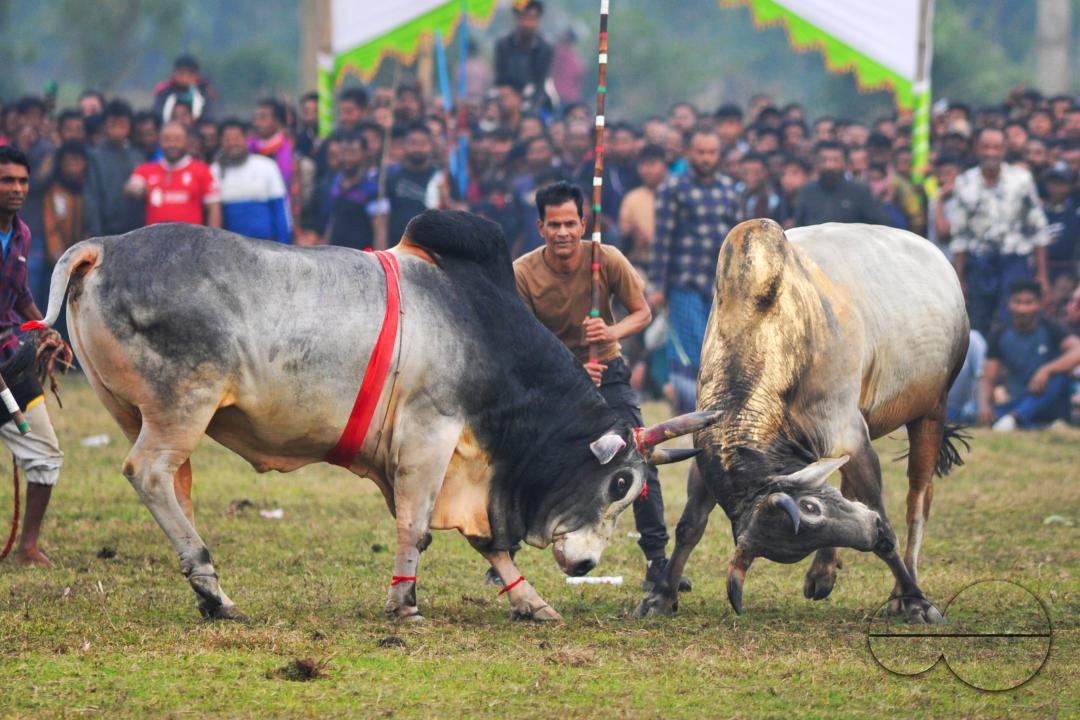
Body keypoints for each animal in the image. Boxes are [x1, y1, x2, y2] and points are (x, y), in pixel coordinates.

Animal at [38, 210, 715, 622]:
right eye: (621, 482)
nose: (586, 566)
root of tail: (104, 246)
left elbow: (487, 541)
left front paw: (531, 601)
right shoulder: (430, 435)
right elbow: (417, 528)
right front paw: (405, 603)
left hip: (140, 413)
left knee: (173, 484)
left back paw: (210, 592)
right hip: (183, 407)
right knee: (150, 474)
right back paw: (211, 583)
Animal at [636, 220, 969, 624]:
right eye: (811, 511)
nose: (870, 532)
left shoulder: (850, 437)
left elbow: (887, 524)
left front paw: (917, 599)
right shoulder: (705, 452)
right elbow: (690, 525)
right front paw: (660, 596)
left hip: (931, 409)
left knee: (918, 502)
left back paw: (899, 593)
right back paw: (823, 573)